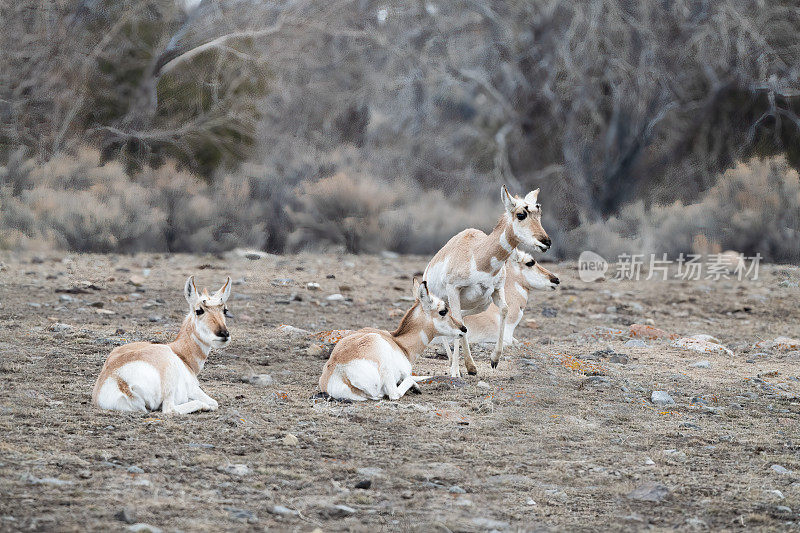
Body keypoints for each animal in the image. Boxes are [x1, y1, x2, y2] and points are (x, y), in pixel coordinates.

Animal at [94, 276, 233, 414]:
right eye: (199, 310)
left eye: (225, 310)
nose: (224, 334)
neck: (180, 354)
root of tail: (119, 380)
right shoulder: (194, 389)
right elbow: (214, 402)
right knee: (170, 409)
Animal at [424, 185, 552, 376]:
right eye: (521, 214)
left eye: (539, 212)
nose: (546, 242)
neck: (477, 255)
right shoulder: (453, 290)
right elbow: (457, 321)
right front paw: (456, 371)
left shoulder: (497, 291)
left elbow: (504, 310)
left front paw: (494, 360)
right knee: (453, 320)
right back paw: (455, 363)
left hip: (480, 304)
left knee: (462, 320)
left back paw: (469, 365)